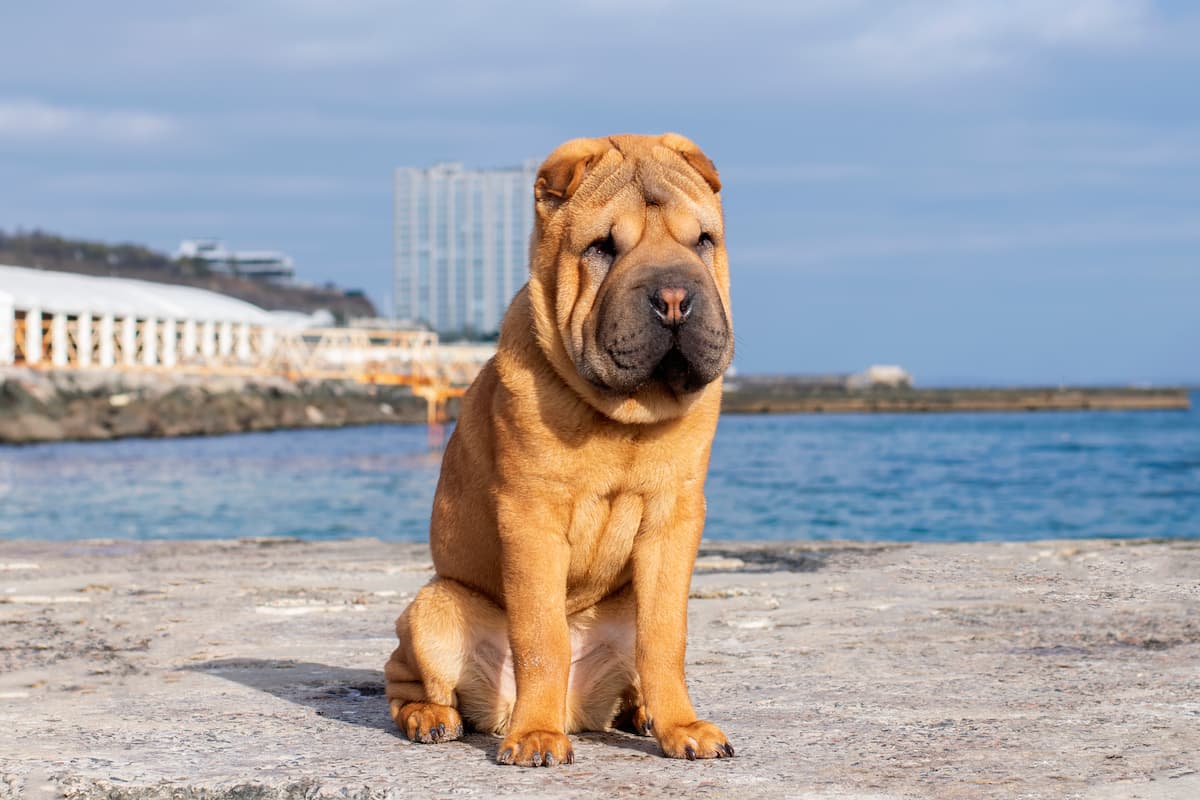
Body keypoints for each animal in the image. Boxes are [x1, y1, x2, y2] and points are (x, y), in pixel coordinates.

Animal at [388, 134, 734, 767]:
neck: (622, 417)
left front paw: (684, 726)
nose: (675, 298)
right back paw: (431, 717)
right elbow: (541, 635)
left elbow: (666, 636)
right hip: (434, 608)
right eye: (602, 247)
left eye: (702, 239)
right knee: (403, 677)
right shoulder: (532, 517)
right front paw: (536, 737)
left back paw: (642, 713)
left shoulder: (675, 518)